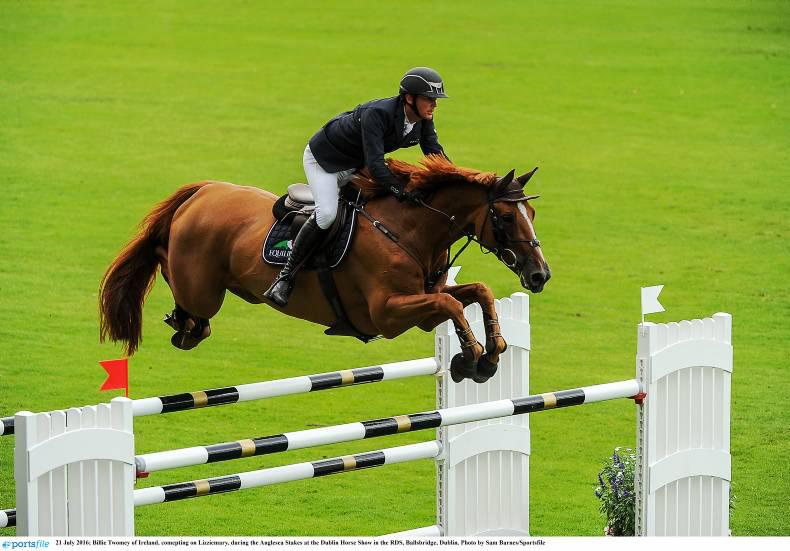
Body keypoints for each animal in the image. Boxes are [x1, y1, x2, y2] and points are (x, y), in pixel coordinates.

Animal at [99, 155, 550, 383]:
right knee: (169, 270)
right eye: (505, 218)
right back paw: (183, 323)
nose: (539, 275)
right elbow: (454, 305)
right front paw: (472, 358)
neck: (409, 230)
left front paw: (491, 353)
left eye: (531, 213)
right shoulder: (388, 314)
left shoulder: (423, 305)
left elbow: (478, 292)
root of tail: (206, 190)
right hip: (201, 288)